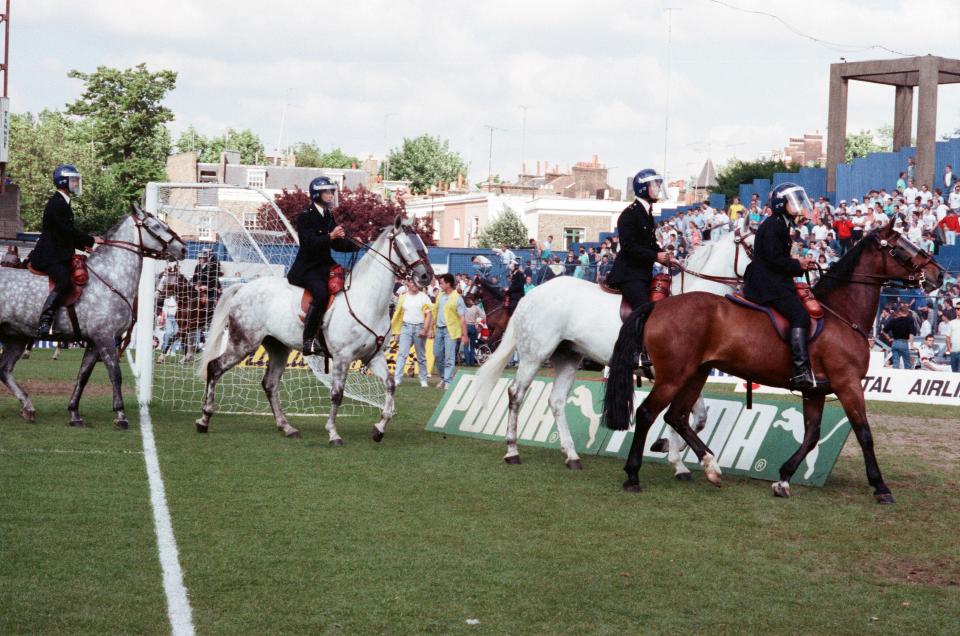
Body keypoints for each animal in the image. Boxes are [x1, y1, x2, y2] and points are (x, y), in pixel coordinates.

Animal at [0, 207, 186, 428]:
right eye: (156, 226)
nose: (183, 249)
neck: (111, 278)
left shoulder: (94, 342)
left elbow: (83, 376)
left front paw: (74, 414)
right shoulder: (104, 337)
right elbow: (115, 374)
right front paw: (120, 415)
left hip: (16, 338)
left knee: (4, 370)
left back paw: (28, 407)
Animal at [468, 229, 752, 476]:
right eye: (754, 245)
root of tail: (531, 295)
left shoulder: (687, 376)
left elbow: (697, 417)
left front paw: (670, 451)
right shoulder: (673, 377)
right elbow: (680, 416)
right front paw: (677, 459)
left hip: (568, 357)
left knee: (557, 401)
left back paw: (571, 455)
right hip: (534, 355)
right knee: (516, 394)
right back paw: (512, 450)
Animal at [604, 226, 940, 504]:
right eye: (899, 247)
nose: (938, 274)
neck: (842, 314)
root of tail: (658, 305)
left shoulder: (816, 391)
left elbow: (812, 435)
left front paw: (783, 478)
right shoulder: (848, 384)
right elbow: (864, 433)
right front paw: (881, 487)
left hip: (695, 373)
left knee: (677, 416)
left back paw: (710, 467)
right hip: (673, 376)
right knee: (647, 413)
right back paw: (633, 475)